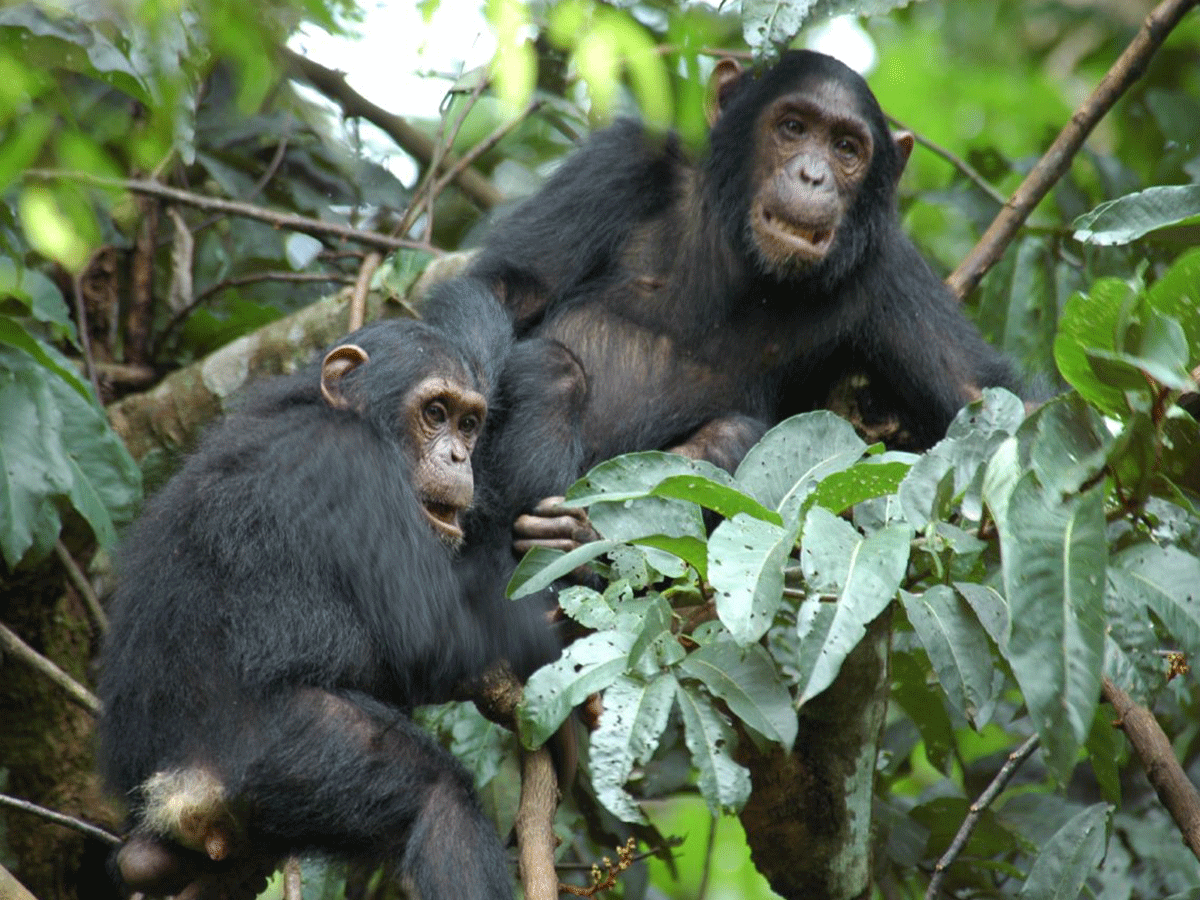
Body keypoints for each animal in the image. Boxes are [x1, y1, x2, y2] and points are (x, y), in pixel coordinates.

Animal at [96, 278, 564, 897]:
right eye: (435, 412)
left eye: (469, 423)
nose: (459, 455)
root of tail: (169, 793)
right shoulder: (351, 463)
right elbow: (430, 635)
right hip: (277, 751)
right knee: (438, 799)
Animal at [436, 52, 1017, 547]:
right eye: (793, 128)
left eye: (846, 149)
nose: (813, 175)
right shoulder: (621, 160)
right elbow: (509, 287)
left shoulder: (889, 270)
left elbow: (979, 394)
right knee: (550, 367)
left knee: (733, 434)